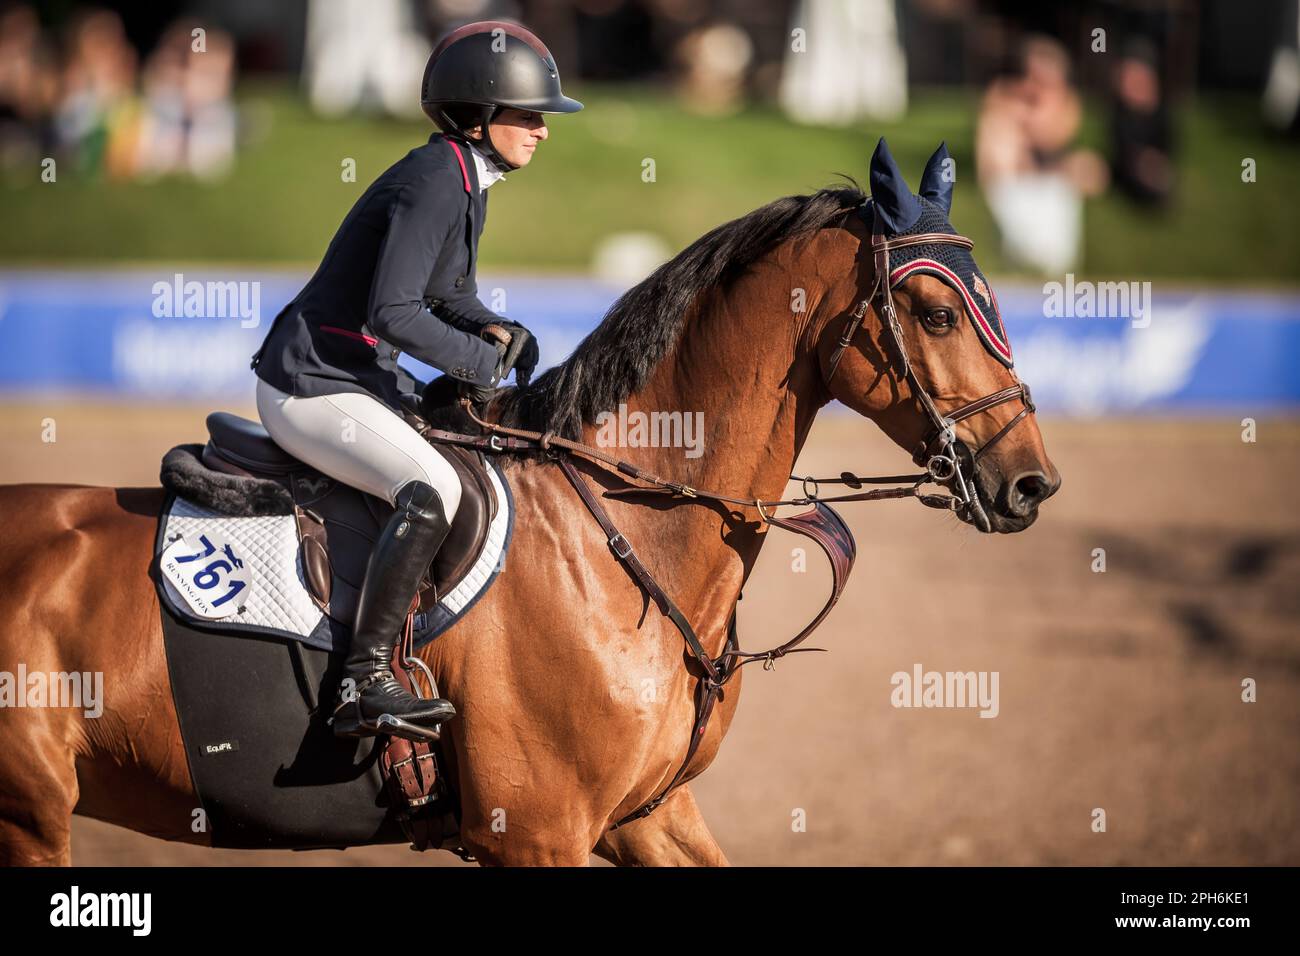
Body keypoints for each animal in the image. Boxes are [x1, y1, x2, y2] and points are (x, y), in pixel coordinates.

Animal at [0, 141, 1055, 868]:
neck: (625, 537)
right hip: (31, 816)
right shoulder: (538, 834)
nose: (1031, 483)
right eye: (935, 314)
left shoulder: (649, 814)